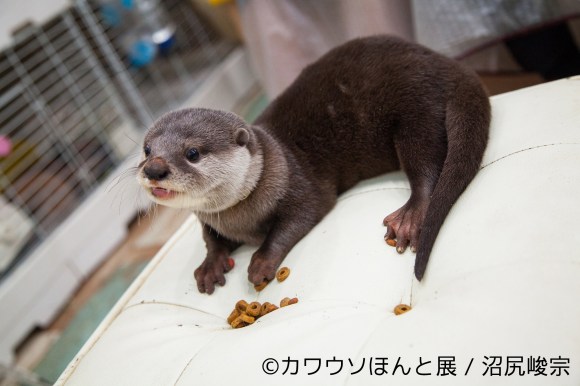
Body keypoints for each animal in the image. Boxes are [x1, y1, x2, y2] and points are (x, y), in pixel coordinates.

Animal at [138, 37, 492, 296]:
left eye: (192, 152)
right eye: (146, 148)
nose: (153, 169)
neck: (241, 222)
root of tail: (444, 62)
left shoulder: (300, 185)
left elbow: (299, 217)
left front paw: (261, 261)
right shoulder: (210, 220)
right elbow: (210, 238)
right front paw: (211, 264)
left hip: (416, 106)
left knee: (426, 163)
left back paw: (409, 216)